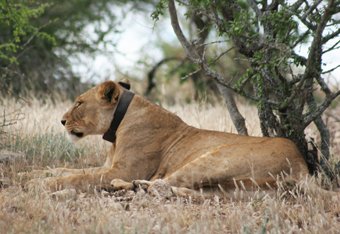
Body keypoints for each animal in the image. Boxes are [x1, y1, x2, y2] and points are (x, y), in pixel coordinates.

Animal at [22, 79, 336, 199]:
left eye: (78, 103)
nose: (62, 121)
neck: (116, 130)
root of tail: (302, 165)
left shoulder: (121, 169)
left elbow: (77, 177)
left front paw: (39, 185)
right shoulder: (108, 166)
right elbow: (68, 169)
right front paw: (30, 174)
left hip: (214, 159)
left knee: (160, 184)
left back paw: (121, 187)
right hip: (233, 190)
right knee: (177, 190)